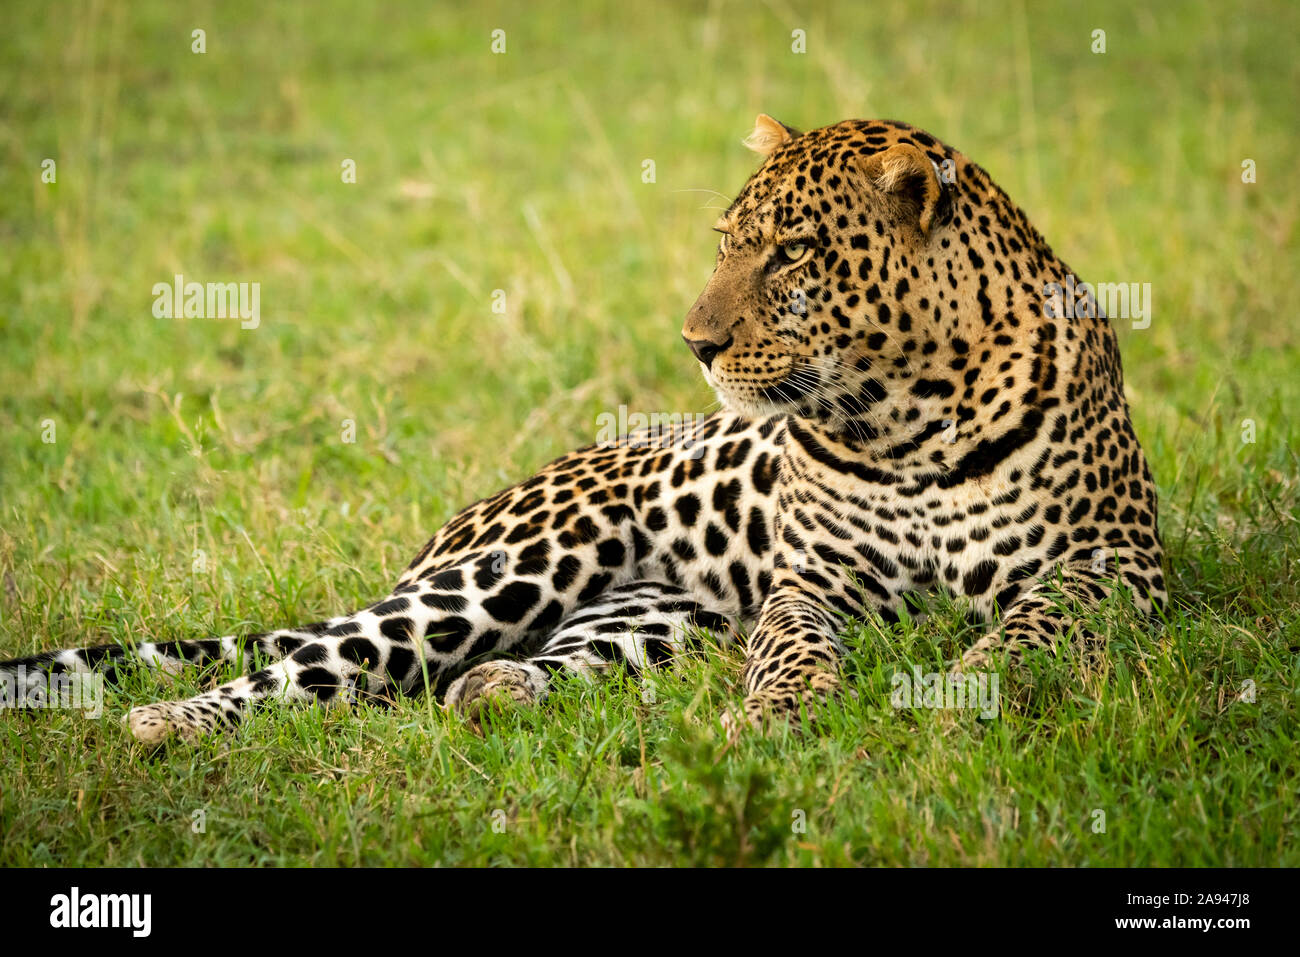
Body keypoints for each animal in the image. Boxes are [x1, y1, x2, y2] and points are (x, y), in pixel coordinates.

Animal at [0, 115, 1170, 743]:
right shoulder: (810, 583)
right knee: (310, 665)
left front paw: (958, 694)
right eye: (726, 240)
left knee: (503, 669)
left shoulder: (1117, 563)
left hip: (657, 618)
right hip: (507, 572)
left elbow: (1027, 627)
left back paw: (497, 691)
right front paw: (776, 715)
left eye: (793, 251)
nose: (695, 342)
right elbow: (794, 648)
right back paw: (167, 724)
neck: (905, 411)